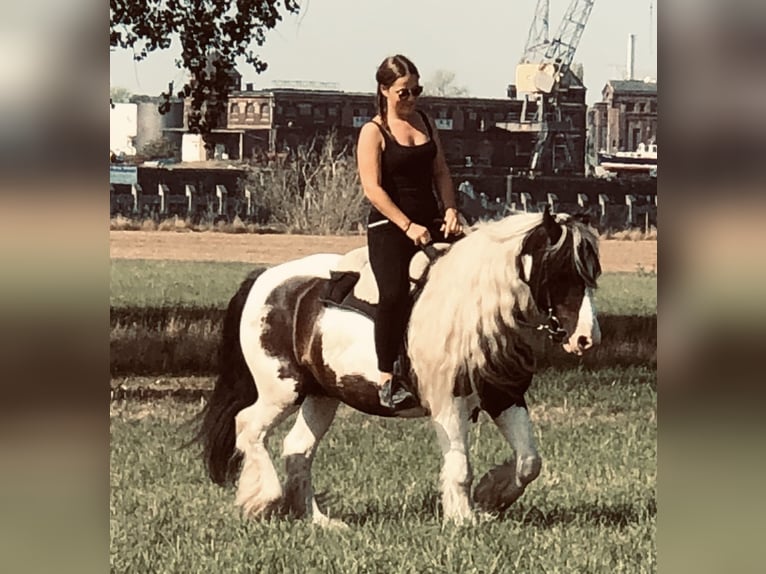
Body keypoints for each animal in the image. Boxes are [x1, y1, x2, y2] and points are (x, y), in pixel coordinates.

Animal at [195, 208, 604, 528]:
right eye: (559, 272)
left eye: (591, 275)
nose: (587, 338)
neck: (472, 307)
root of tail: (264, 279)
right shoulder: (448, 402)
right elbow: (460, 466)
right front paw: (463, 518)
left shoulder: (503, 395)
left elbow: (529, 462)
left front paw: (490, 499)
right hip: (282, 389)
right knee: (249, 428)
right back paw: (263, 499)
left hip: (321, 395)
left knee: (297, 450)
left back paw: (320, 521)